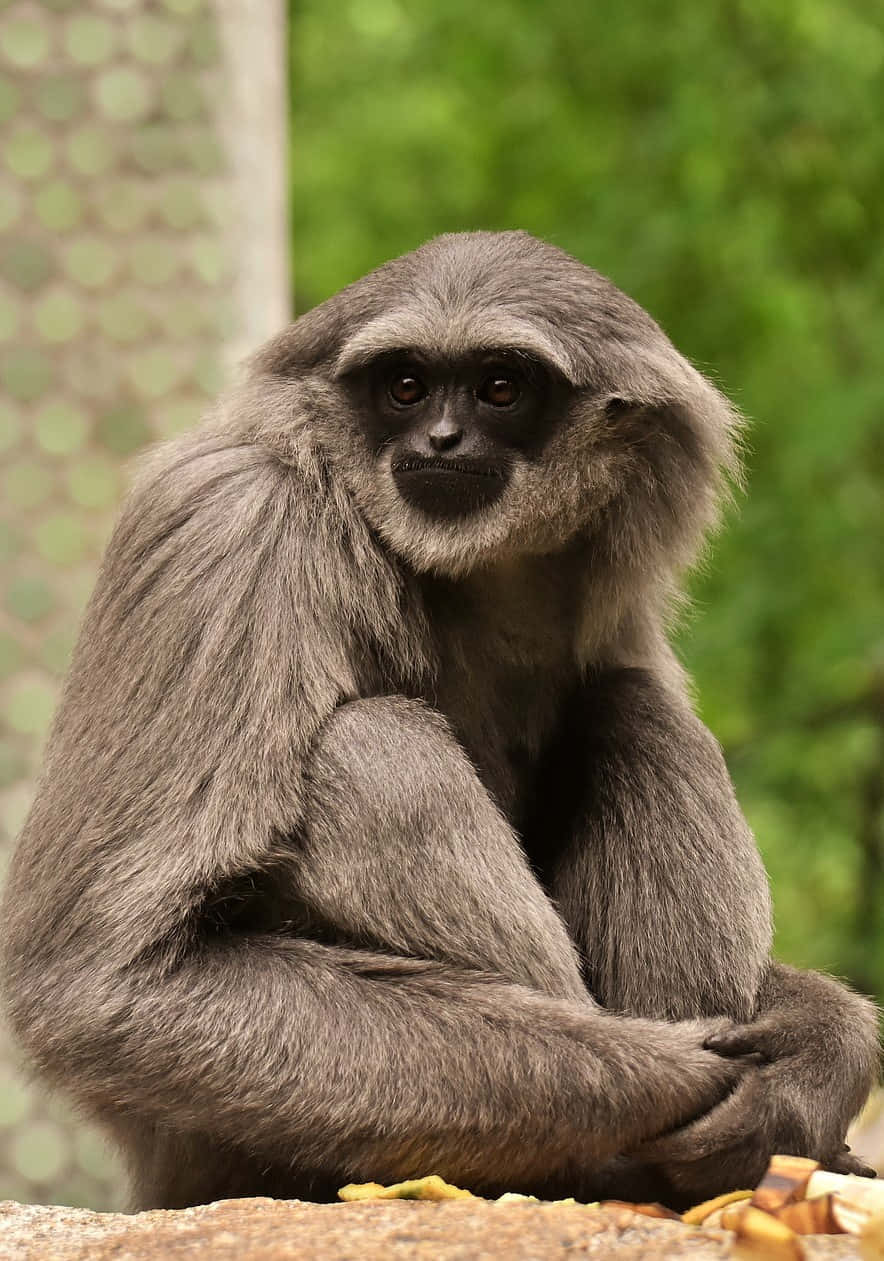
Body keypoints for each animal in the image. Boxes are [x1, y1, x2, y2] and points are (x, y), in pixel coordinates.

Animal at [2, 231, 877, 1212]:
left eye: (499, 387)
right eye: (406, 387)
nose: (441, 437)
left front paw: (811, 1060)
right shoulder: (226, 522)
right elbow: (99, 983)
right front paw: (710, 1079)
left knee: (631, 707)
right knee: (373, 743)